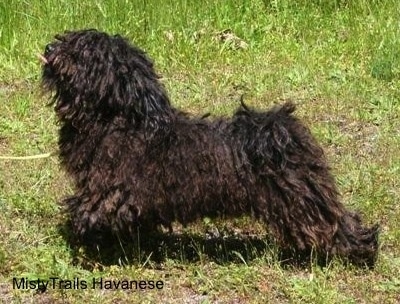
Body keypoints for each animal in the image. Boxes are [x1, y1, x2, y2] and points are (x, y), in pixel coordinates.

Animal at [39, 29, 380, 266]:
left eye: (81, 51)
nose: (49, 48)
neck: (123, 120)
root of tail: (281, 130)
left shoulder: (113, 190)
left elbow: (93, 211)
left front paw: (87, 238)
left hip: (300, 198)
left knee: (331, 224)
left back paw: (358, 252)